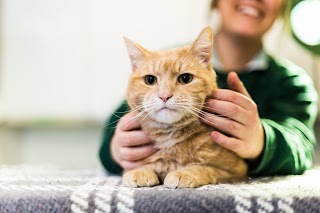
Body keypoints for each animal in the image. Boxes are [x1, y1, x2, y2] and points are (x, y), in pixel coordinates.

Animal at [121, 26, 246, 188]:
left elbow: (205, 168)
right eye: (150, 80)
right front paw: (139, 171)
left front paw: (184, 172)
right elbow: (144, 166)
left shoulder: (235, 171)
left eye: (185, 78)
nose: (164, 96)